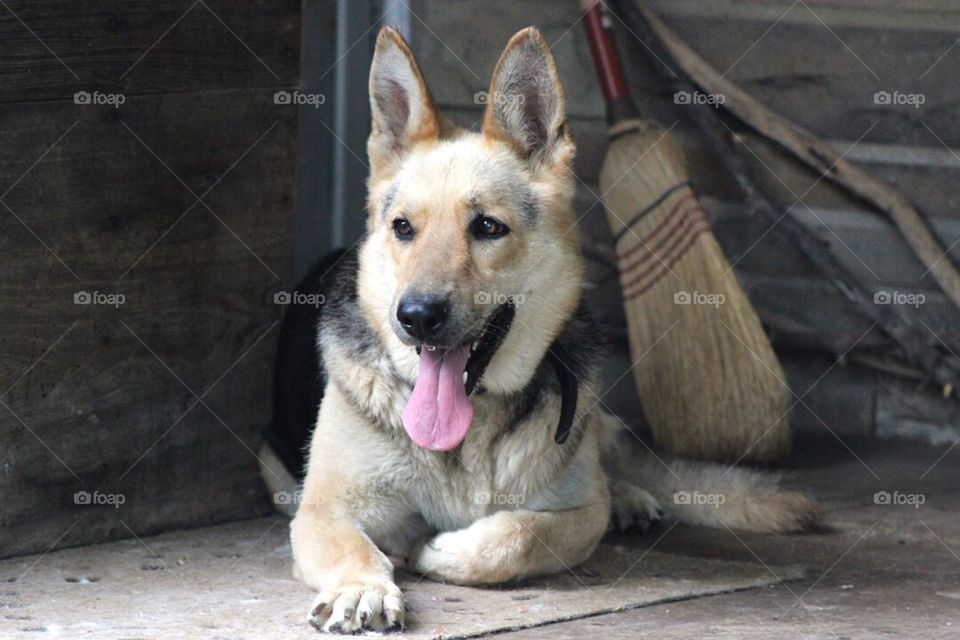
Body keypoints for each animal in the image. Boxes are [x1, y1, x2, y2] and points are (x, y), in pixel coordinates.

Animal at [262, 26, 816, 636]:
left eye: (487, 227)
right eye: (403, 228)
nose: (416, 317)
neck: (471, 429)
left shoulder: (577, 514)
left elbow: (521, 533)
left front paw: (445, 550)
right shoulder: (322, 513)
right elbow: (355, 548)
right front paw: (362, 586)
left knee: (605, 460)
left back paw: (628, 495)